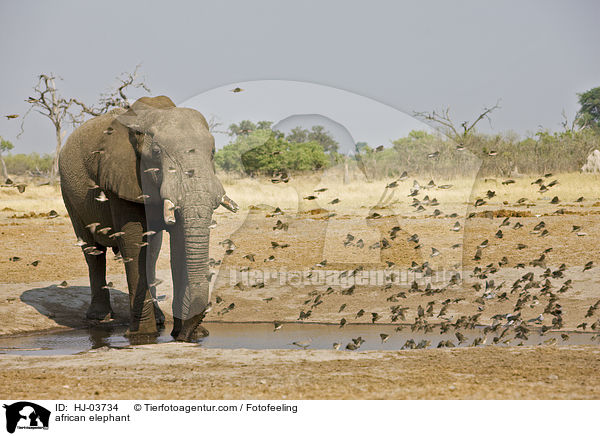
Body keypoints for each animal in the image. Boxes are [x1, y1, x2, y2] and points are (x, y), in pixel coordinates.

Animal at [59, 94, 238, 340]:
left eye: (212, 152)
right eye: (156, 153)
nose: (187, 334)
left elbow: (179, 245)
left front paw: (189, 335)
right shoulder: (120, 176)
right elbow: (134, 242)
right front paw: (141, 336)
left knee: (152, 253)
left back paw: (160, 319)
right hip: (68, 192)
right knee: (93, 252)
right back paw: (99, 318)